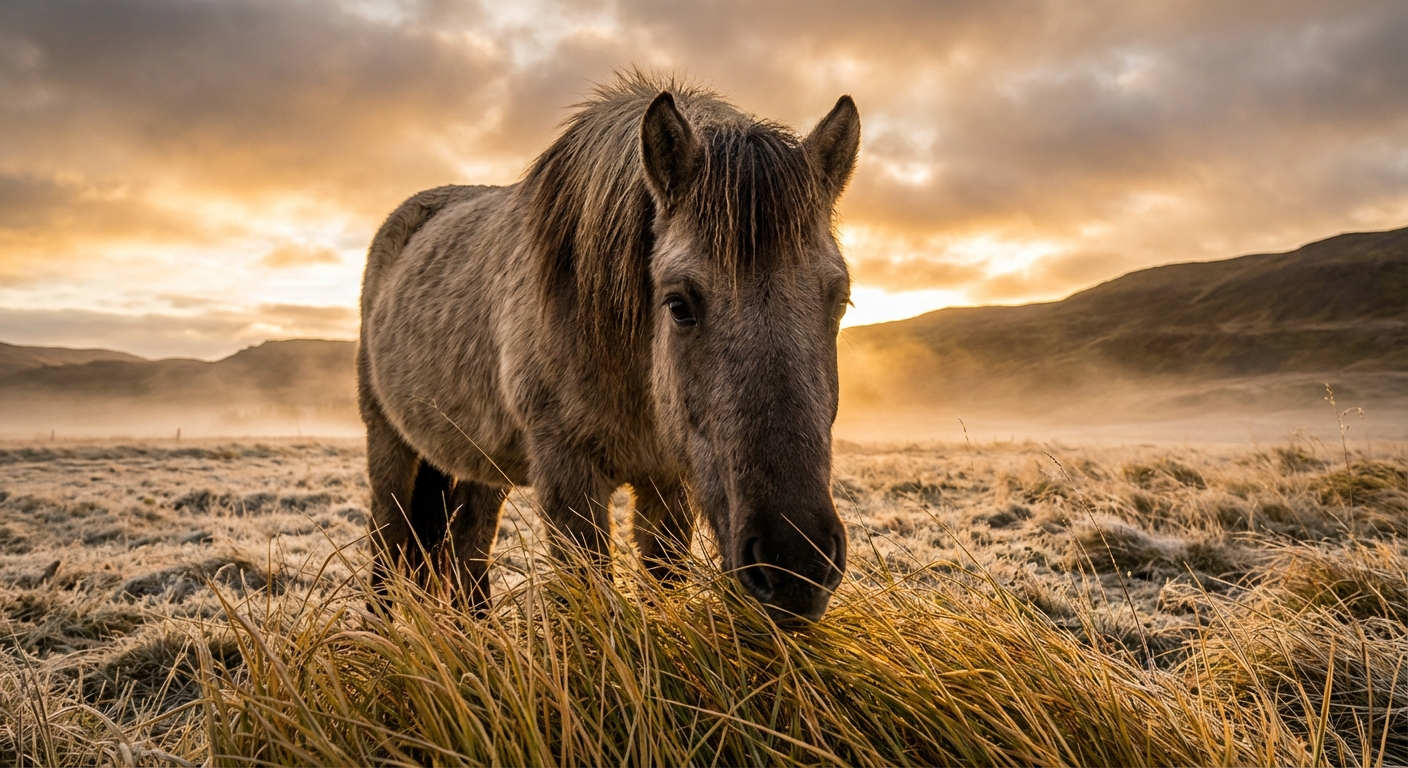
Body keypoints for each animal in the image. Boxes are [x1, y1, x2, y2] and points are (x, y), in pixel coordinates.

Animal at [358, 72, 860, 621]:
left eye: (841, 299)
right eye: (678, 304)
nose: (794, 566)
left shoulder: (668, 480)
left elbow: (662, 583)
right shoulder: (567, 476)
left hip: (480, 465)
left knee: (468, 547)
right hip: (388, 442)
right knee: (388, 545)